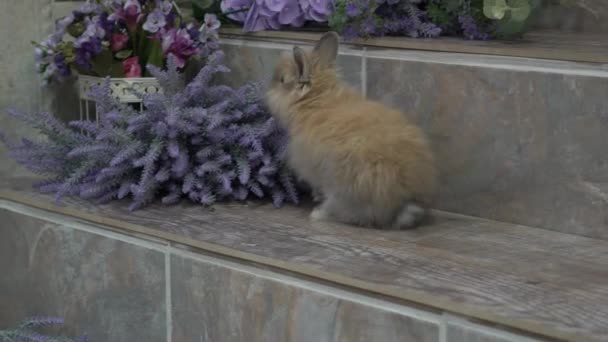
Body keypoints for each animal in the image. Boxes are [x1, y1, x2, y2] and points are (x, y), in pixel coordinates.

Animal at [266, 32, 436, 230]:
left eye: (282, 80)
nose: (268, 88)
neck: (317, 99)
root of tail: (404, 202)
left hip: (342, 188)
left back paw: (318, 214)